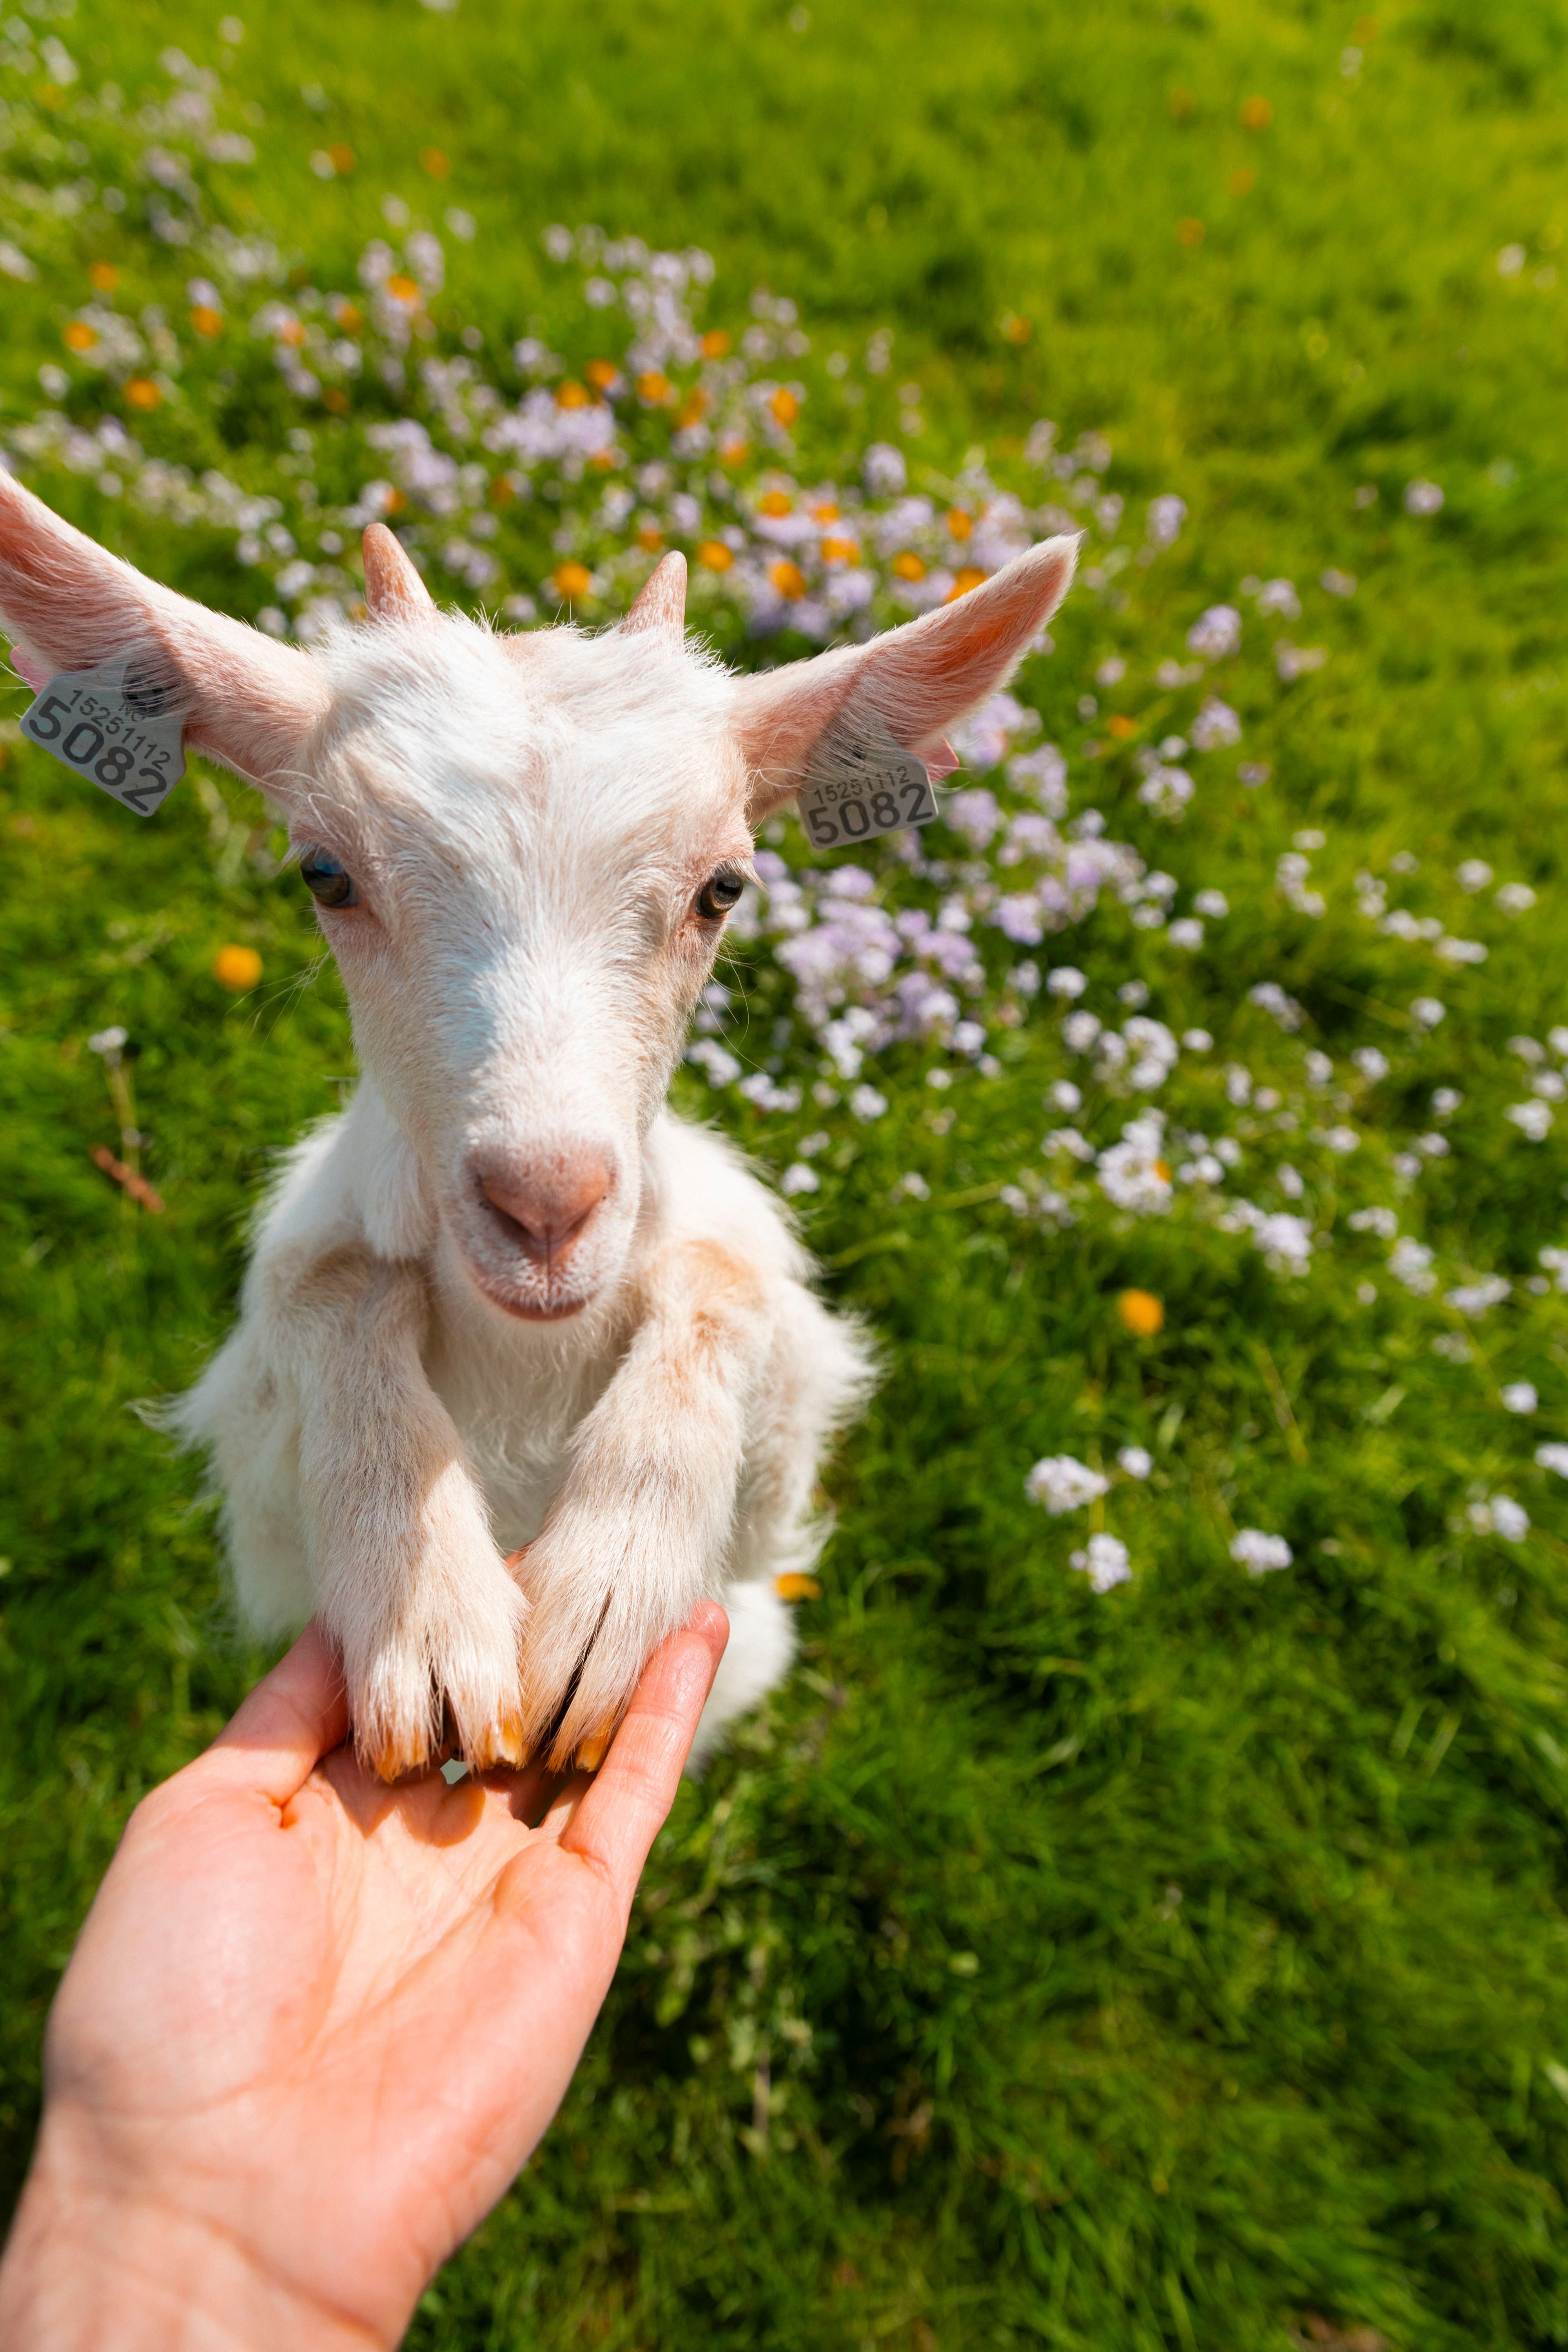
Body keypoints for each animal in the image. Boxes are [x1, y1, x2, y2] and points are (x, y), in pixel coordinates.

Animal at [0, 470, 1076, 1776]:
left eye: (725, 886)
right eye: (324, 873)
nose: (546, 1209)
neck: (525, 1347)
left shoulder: (774, 1417)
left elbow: (720, 1282)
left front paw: (608, 1597)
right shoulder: (261, 1438)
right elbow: (334, 1289)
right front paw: (426, 1619)